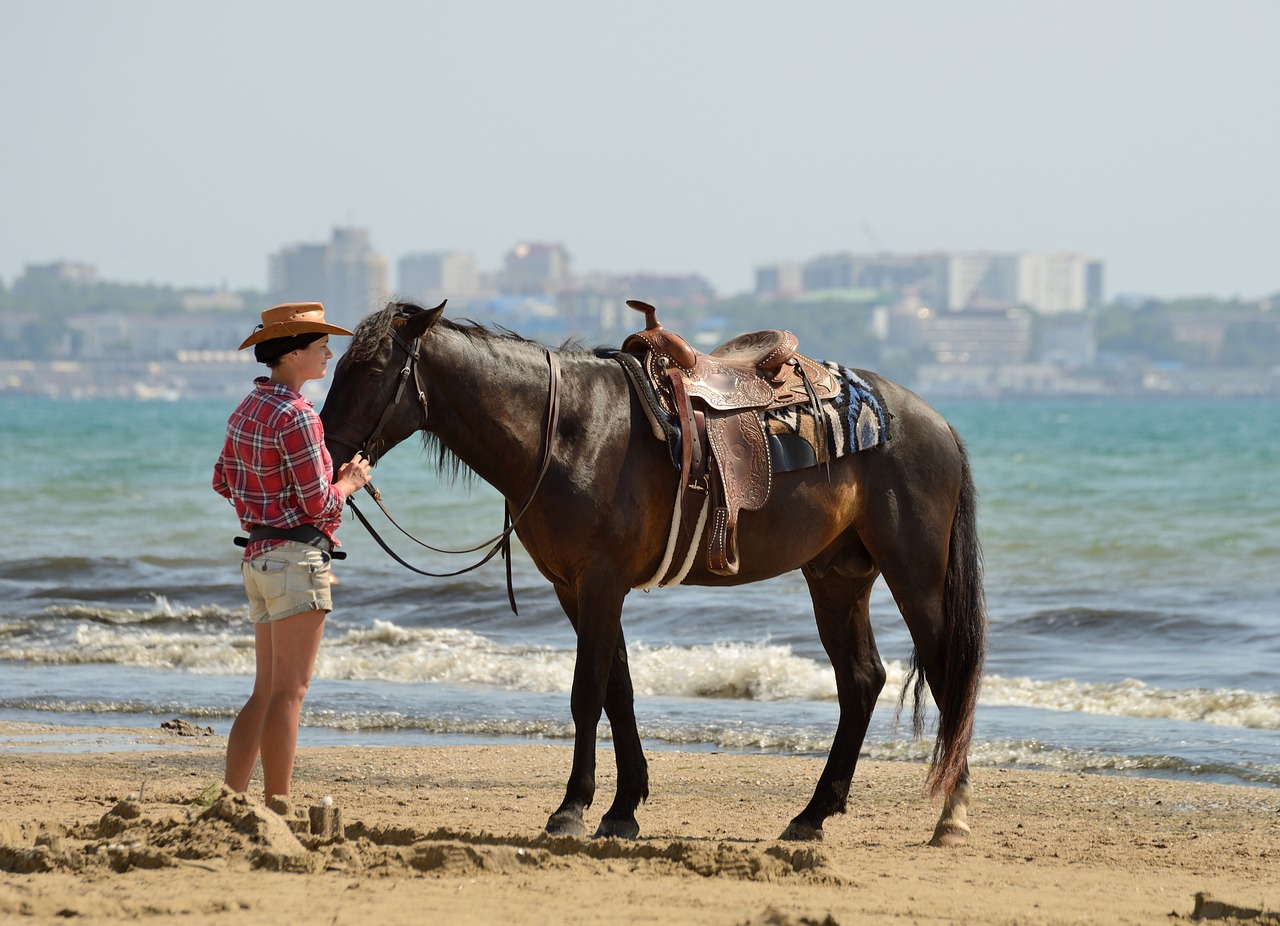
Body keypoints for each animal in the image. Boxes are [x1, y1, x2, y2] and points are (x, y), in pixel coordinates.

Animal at [320, 302, 988, 845]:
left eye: (372, 369)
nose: (325, 448)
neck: (567, 432)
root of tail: (935, 422)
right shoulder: (576, 588)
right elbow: (618, 689)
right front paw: (623, 809)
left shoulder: (599, 583)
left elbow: (587, 691)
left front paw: (572, 808)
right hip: (836, 576)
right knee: (862, 681)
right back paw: (812, 815)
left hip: (915, 575)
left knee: (946, 673)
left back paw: (952, 815)